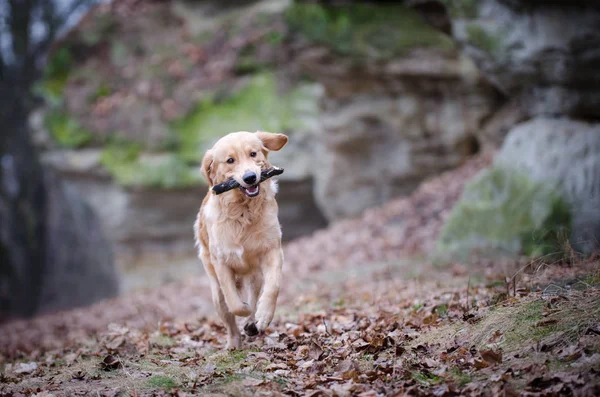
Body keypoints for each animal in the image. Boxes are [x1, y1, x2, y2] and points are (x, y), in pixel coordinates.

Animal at [192, 131, 286, 350]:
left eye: (253, 153)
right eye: (230, 161)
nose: (250, 177)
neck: (243, 211)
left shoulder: (272, 250)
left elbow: (273, 287)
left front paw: (263, 315)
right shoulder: (221, 261)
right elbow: (234, 303)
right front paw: (243, 309)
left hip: (255, 277)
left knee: (255, 294)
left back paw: (253, 323)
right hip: (215, 291)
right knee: (228, 317)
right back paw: (234, 344)